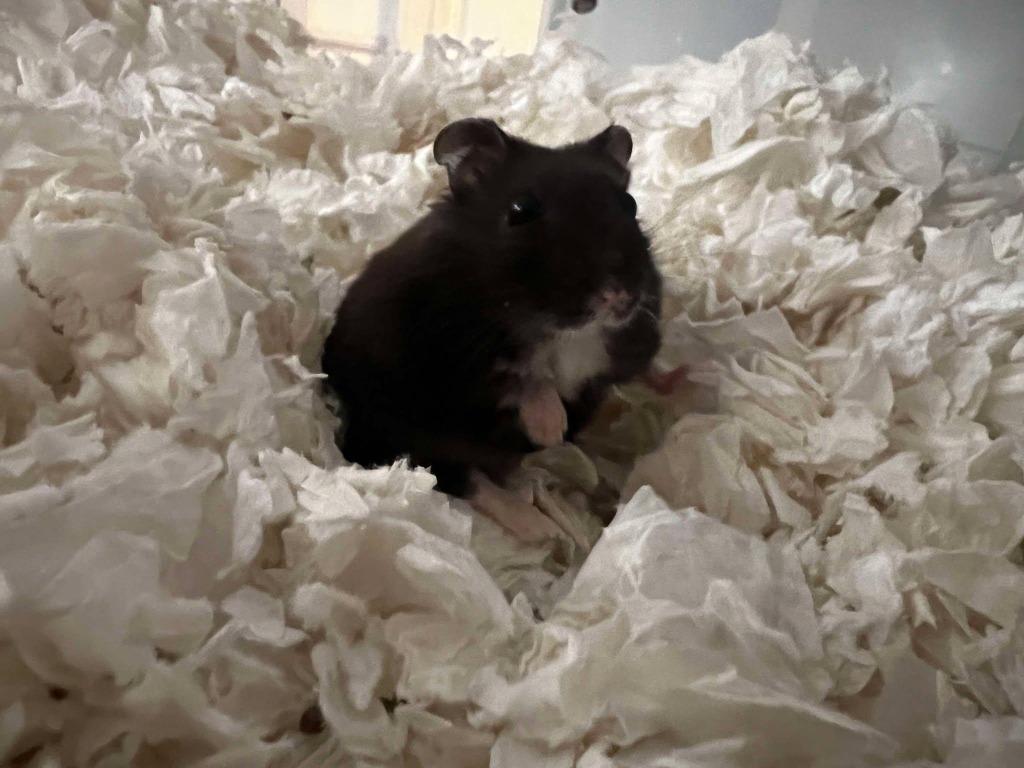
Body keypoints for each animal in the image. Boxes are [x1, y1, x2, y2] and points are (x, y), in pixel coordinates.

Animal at [321, 118, 662, 543]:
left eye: (630, 205)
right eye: (521, 211)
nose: (618, 296)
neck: (564, 331)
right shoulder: (454, 354)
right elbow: (521, 375)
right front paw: (549, 429)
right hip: (401, 429)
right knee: (458, 477)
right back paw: (540, 527)